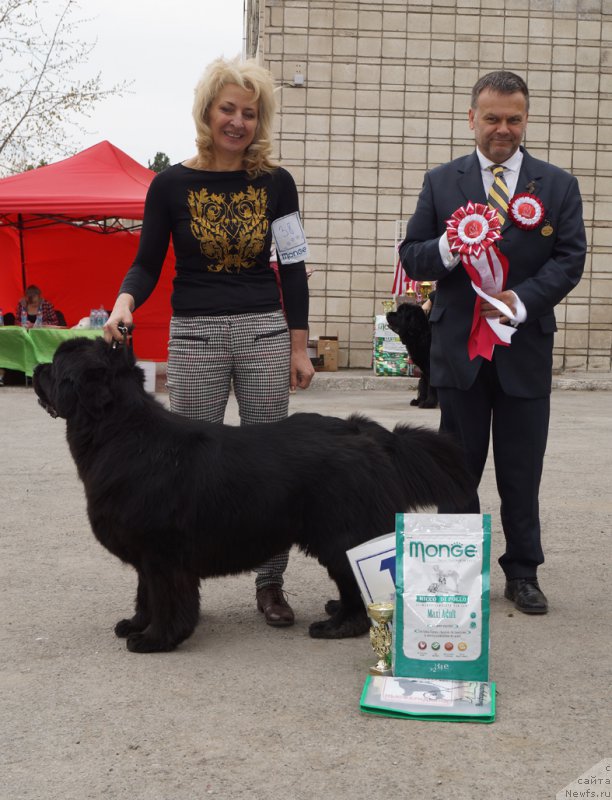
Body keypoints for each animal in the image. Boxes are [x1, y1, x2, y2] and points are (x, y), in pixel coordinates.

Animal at [32, 334, 474, 652]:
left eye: (56, 364)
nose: (36, 368)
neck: (120, 433)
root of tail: (364, 432)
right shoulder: (147, 553)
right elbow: (145, 594)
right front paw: (136, 624)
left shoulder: (162, 554)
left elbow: (165, 598)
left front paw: (156, 639)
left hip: (343, 537)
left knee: (354, 587)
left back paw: (336, 625)